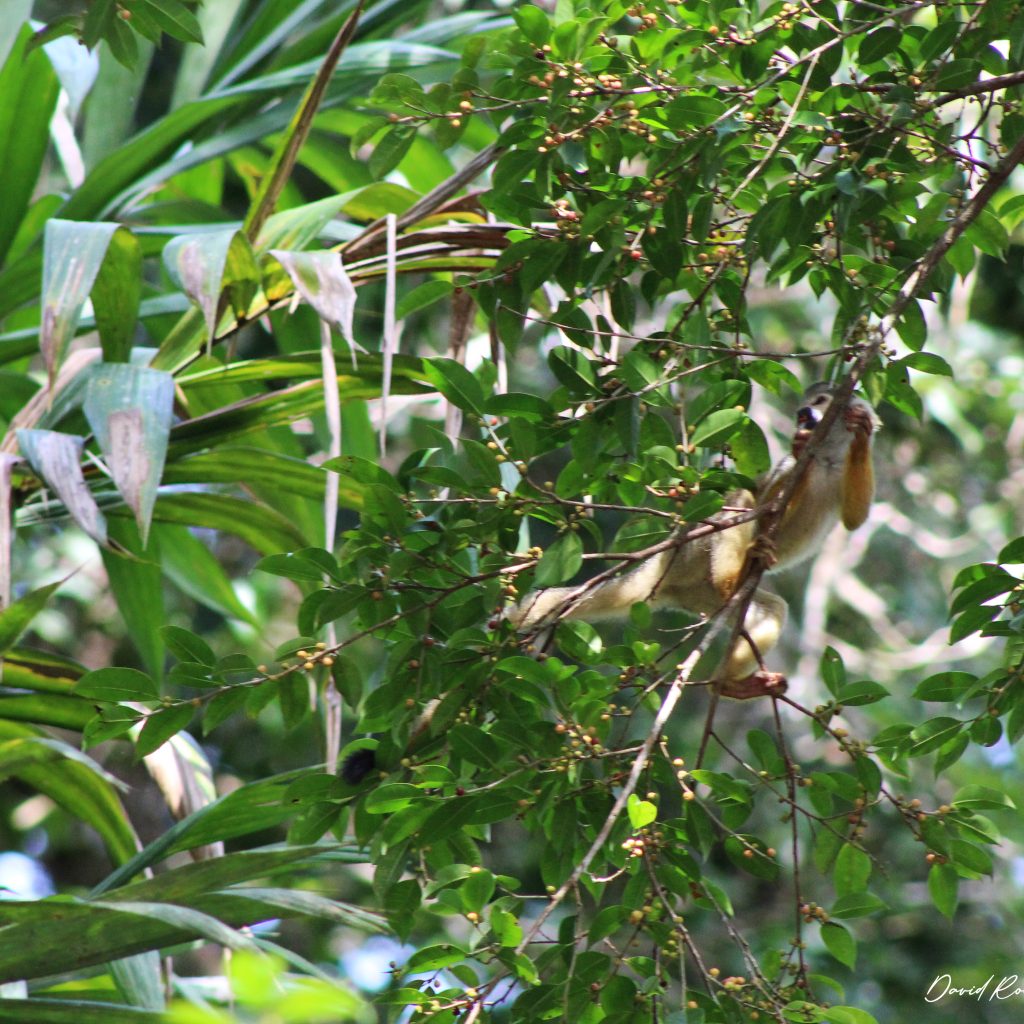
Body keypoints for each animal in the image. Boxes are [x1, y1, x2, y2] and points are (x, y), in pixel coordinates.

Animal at [509, 383, 880, 699]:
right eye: (803, 412)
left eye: (819, 402)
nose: (803, 415)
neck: (827, 459)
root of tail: (664, 566)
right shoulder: (788, 466)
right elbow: (766, 508)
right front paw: (802, 448)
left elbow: (854, 518)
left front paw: (862, 430)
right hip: (694, 551)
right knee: (739, 501)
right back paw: (732, 582)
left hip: (700, 597)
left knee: (771, 610)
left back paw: (727, 684)